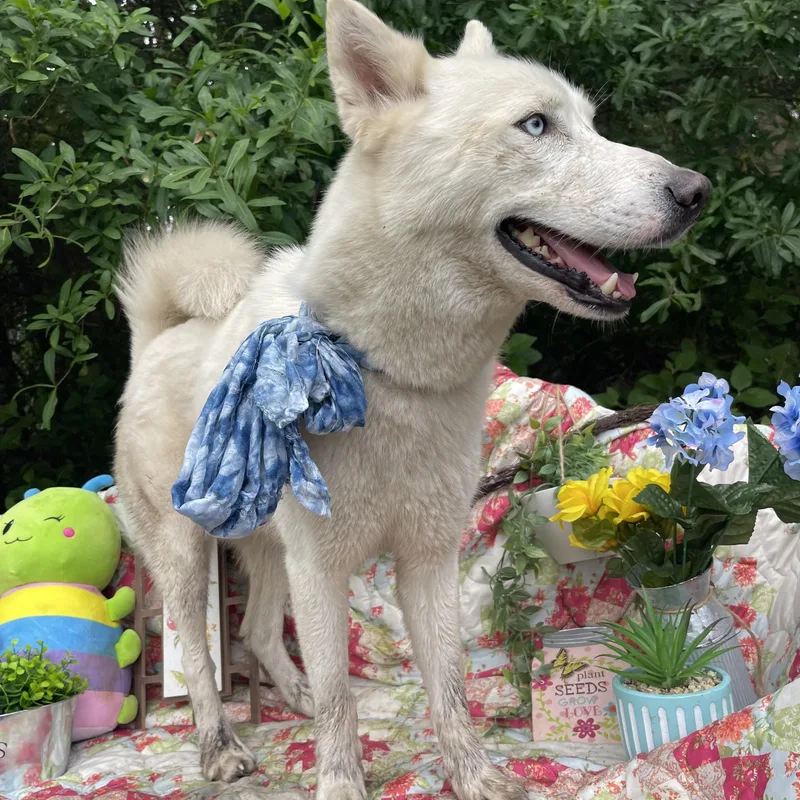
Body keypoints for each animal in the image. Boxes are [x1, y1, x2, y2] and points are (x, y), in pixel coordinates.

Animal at [114, 0, 710, 797]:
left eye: (589, 123)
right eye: (535, 125)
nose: (696, 191)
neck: (392, 375)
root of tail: (157, 337)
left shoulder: (427, 559)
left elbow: (448, 685)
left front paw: (476, 777)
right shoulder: (322, 568)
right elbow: (341, 698)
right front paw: (339, 783)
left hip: (269, 552)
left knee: (257, 631)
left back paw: (291, 700)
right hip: (186, 555)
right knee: (206, 656)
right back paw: (221, 746)